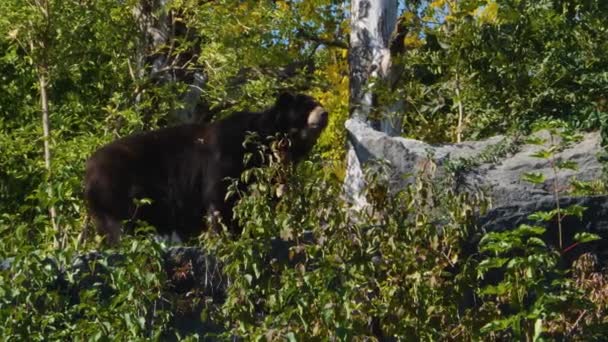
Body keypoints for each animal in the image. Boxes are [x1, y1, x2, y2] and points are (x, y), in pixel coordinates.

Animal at [84, 92, 328, 244]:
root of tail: (88, 170)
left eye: (316, 102)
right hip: (118, 187)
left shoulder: (273, 171)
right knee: (121, 223)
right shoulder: (228, 155)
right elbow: (222, 196)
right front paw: (227, 235)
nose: (324, 113)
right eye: (306, 106)